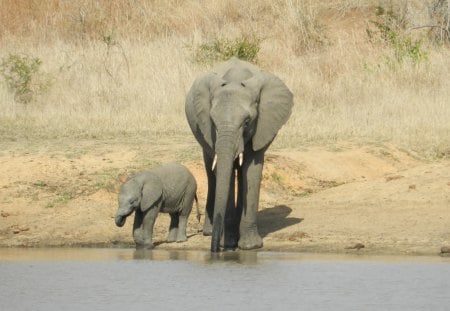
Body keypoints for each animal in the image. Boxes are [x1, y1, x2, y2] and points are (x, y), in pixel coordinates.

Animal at [185, 57, 294, 252]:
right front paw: (228, 243)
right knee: (211, 173)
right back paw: (209, 232)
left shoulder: (261, 126)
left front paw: (250, 246)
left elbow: (251, 170)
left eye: (247, 122)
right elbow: (223, 173)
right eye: (213, 121)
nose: (214, 250)